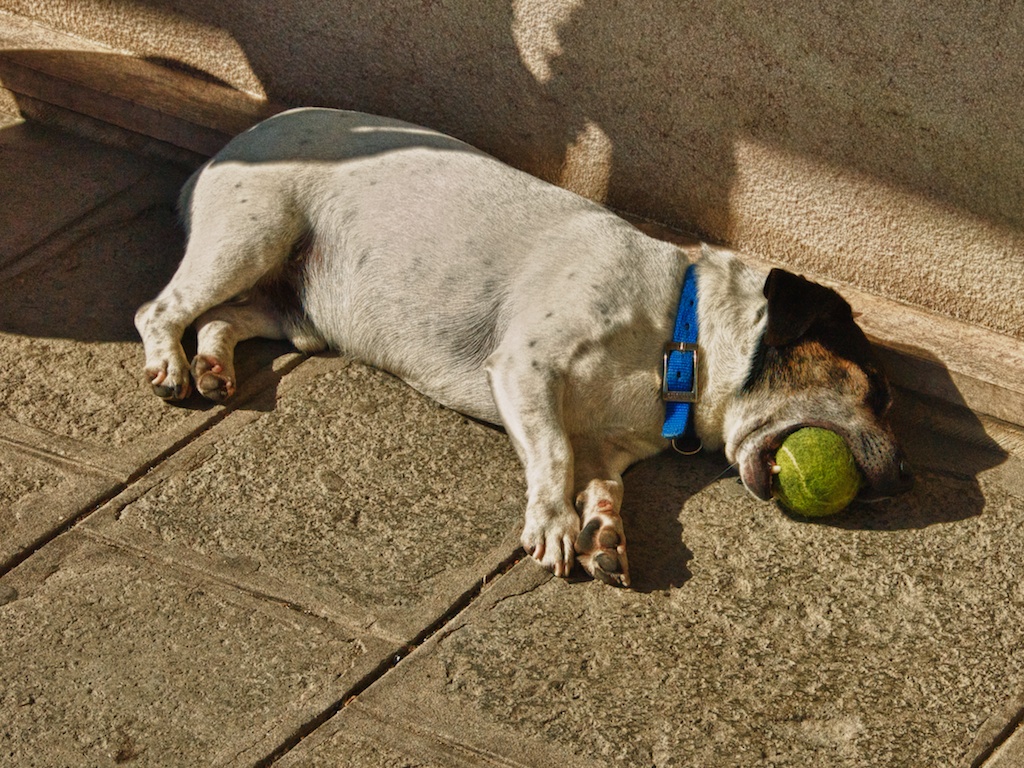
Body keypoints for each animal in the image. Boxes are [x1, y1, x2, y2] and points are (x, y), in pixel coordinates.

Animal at [134, 108, 913, 585]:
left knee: (220, 319)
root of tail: (226, 147)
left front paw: (604, 533)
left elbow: (601, 484)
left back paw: (212, 366)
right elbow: (554, 456)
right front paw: (555, 526)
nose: (907, 481)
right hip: (252, 234)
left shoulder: (607, 449)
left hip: (291, 309)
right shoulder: (526, 367)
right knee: (160, 308)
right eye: (878, 391)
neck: (677, 336)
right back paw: (170, 364)